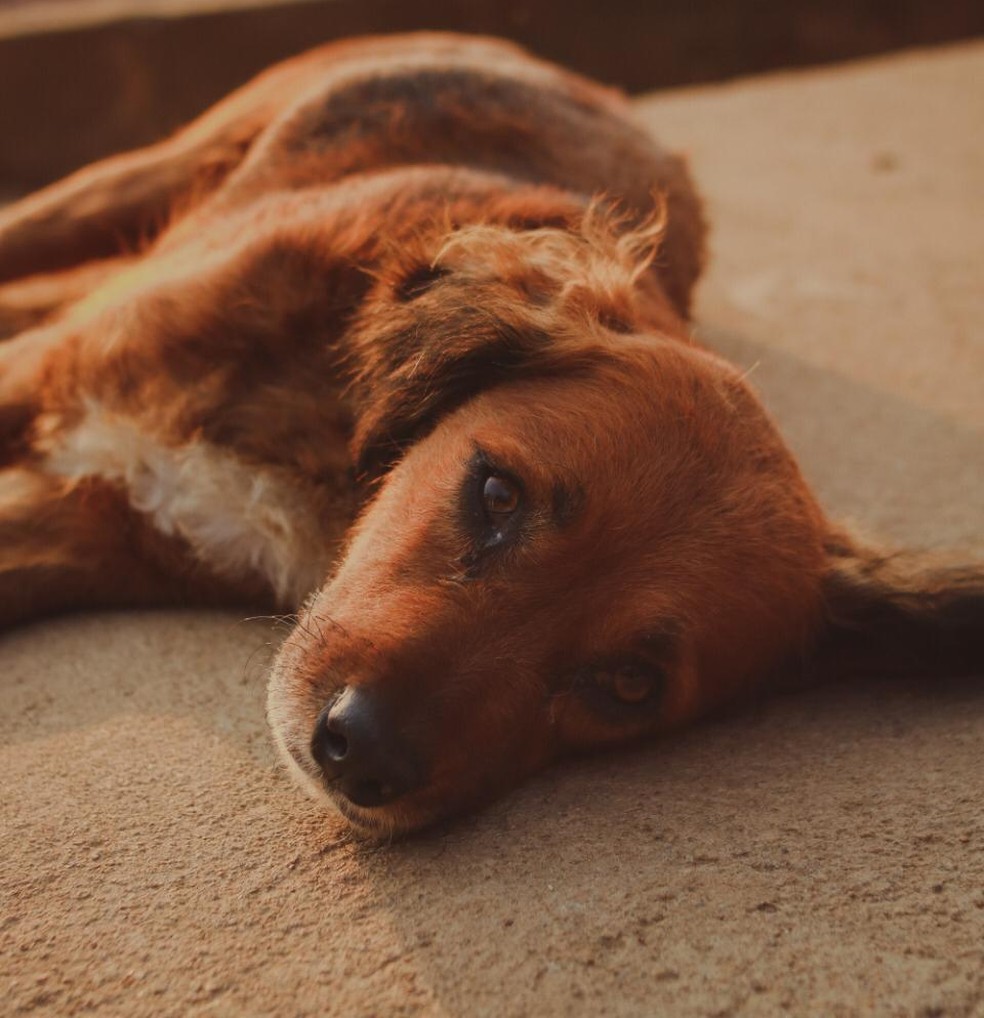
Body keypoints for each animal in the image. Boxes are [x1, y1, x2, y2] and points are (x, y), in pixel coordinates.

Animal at [0, 35, 980, 838]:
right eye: (497, 494)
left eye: (630, 684)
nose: (361, 754)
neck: (328, 435)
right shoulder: (40, 374)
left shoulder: (103, 530)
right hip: (134, 180)